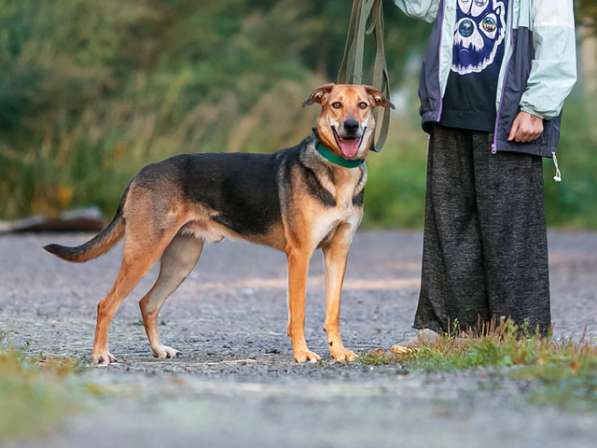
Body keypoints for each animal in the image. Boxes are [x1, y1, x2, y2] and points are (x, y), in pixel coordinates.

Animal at [44, 83, 394, 364]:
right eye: (336, 104)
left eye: (363, 105)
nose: (351, 126)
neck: (338, 172)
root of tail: (141, 173)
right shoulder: (300, 254)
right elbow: (299, 313)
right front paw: (302, 353)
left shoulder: (338, 252)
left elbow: (333, 311)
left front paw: (339, 352)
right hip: (143, 251)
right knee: (106, 304)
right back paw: (100, 354)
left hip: (182, 260)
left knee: (147, 302)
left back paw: (158, 350)